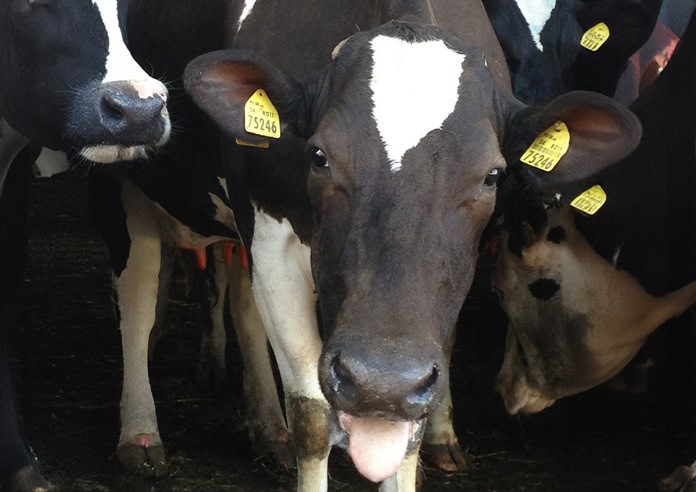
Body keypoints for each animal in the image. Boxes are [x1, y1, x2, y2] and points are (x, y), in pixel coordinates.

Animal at [183, 0, 643, 488]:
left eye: (492, 175)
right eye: (319, 156)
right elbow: (311, 414)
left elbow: (409, 430)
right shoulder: (271, 242)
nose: (381, 382)